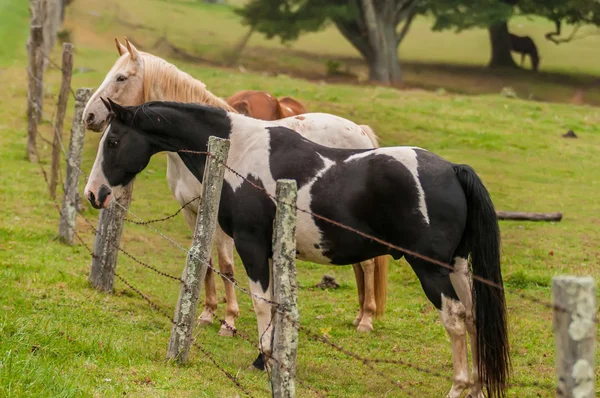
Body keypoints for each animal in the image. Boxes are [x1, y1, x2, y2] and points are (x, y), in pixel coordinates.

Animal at [81, 38, 390, 336]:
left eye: (121, 77)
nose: (89, 116)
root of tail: (361, 131)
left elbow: (226, 266)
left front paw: (229, 321)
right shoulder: (191, 212)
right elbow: (204, 262)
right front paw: (207, 314)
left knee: (368, 264)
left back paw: (366, 319)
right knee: (360, 264)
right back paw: (359, 315)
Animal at [83, 99, 506, 398]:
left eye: (114, 141)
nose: (94, 193)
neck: (240, 151)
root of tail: (452, 170)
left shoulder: (251, 246)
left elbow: (260, 304)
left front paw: (267, 362)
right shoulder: (271, 251)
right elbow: (275, 307)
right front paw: (268, 361)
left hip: (431, 269)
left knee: (455, 319)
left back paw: (458, 386)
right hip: (457, 267)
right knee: (474, 317)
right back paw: (478, 387)